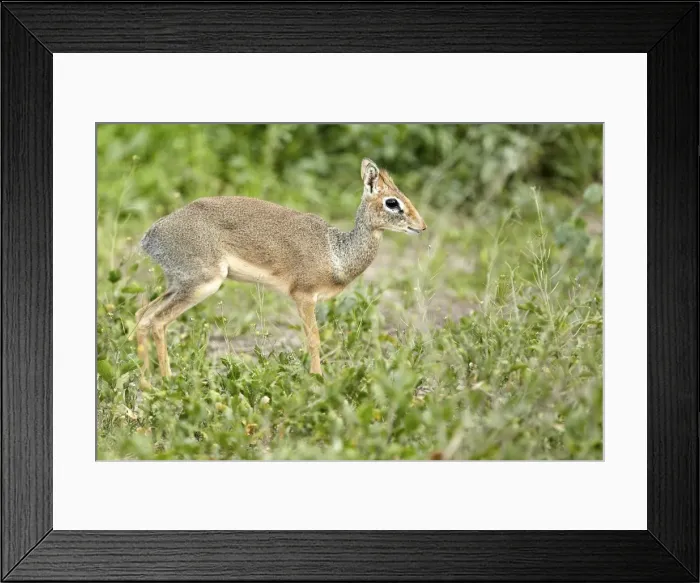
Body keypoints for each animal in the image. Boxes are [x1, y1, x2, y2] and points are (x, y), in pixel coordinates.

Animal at [135, 158, 427, 378]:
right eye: (392, 202)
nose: (421, 226)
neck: (335, 252)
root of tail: (150, 235)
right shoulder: (304, 296)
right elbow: (313, 339)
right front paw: (317, 377)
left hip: (177, 285)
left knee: (142, 315)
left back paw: (146, 383)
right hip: (201, 285)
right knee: (157, 321)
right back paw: (166, 381)